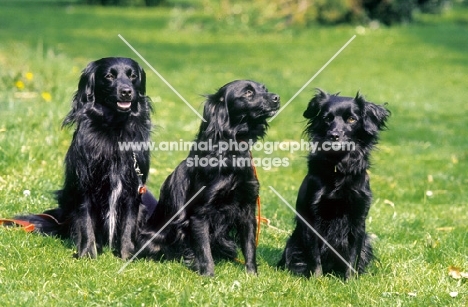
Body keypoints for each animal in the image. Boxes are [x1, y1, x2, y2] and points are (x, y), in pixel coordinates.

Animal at [16, 57, 154, 260]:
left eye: (133, 76)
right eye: (109, 76)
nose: (127, 91)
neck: (114, 131)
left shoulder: (133, 187)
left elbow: (129, 223)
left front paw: (127, 255)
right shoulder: (85, 184)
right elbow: (86, 221)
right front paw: (88, 253)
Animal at [137, 79, 280, 276]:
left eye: (264, 89)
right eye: (248, 92)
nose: (277, 97)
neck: (230, 152)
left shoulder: (247, 209)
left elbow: (250, 247)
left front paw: (252, 275)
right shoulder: (200, 213)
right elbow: (204, 250)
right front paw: (208, 276)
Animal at [276, 89, 390, 280]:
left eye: (351, 119)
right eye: (327, 118)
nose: (333, 135)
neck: (339, 168)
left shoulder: (358, 219)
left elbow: (352, 256)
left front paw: (350, 281)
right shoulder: (312, 218)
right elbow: (314, 256)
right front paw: (317, 280)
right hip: (294, 243)